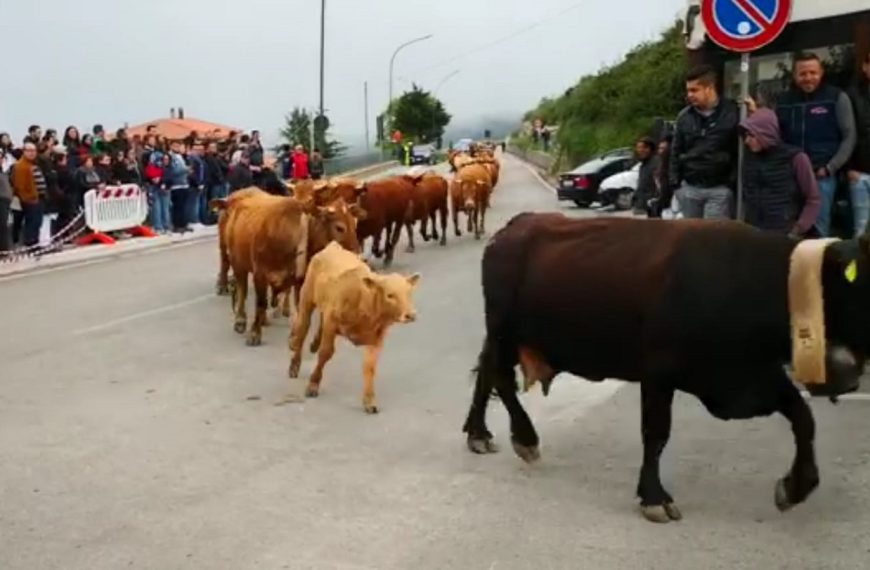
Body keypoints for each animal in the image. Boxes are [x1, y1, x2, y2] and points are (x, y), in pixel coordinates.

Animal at [211, 189, 362, 344]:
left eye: (354, 224)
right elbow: (261, 302)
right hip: (237, 262)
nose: (357, 253)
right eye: (340, 228)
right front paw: (254, 333)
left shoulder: (300, 279)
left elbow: (298, 305)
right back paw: (240, 319)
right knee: (242, 289)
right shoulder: (260, 273)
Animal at [290, 240, 422, 412]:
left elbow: (369, 366)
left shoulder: (377, 337)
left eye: (409, 293)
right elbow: (325, 353)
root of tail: (333, 246)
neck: (365, 301)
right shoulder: (332, 321)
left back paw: (313, 344)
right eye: (390, 295)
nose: (410, 315)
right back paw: (294, 364)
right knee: (302, 331)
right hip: (306, 300)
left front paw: (369, 400)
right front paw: (313, 384)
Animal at [466, 212, 870, 520]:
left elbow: (803, 417)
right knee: (500, 378)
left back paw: (478, 433)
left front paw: (795, 487)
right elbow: (656, 433)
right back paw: (524, 438)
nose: (849, 376)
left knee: (485, 371)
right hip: (504, 329)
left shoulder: (751, 377)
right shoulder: (659, 372)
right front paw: (654, 498)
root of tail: (518, 224)